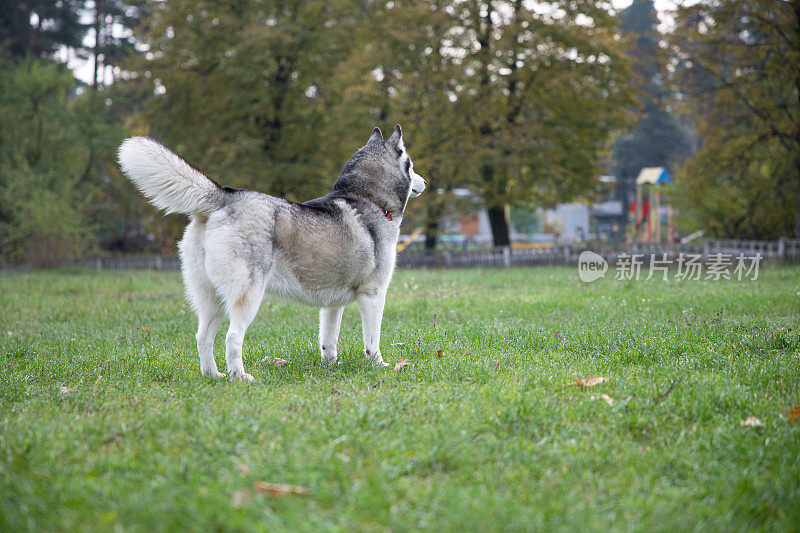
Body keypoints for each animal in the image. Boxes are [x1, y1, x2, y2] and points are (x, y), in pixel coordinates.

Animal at [118, 127, 424, 380]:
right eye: (410, 164)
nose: (425, 182)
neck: (368, 199)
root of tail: (227, 195)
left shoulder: (332, 303)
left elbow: (329, 339)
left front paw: (331, 365)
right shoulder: (373, 294)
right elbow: (372, 341)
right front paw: (379, 365)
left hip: (211, 298)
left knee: (203, 337)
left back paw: (213, 375)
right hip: (248, 295)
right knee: (232, 338)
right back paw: (240, 377)